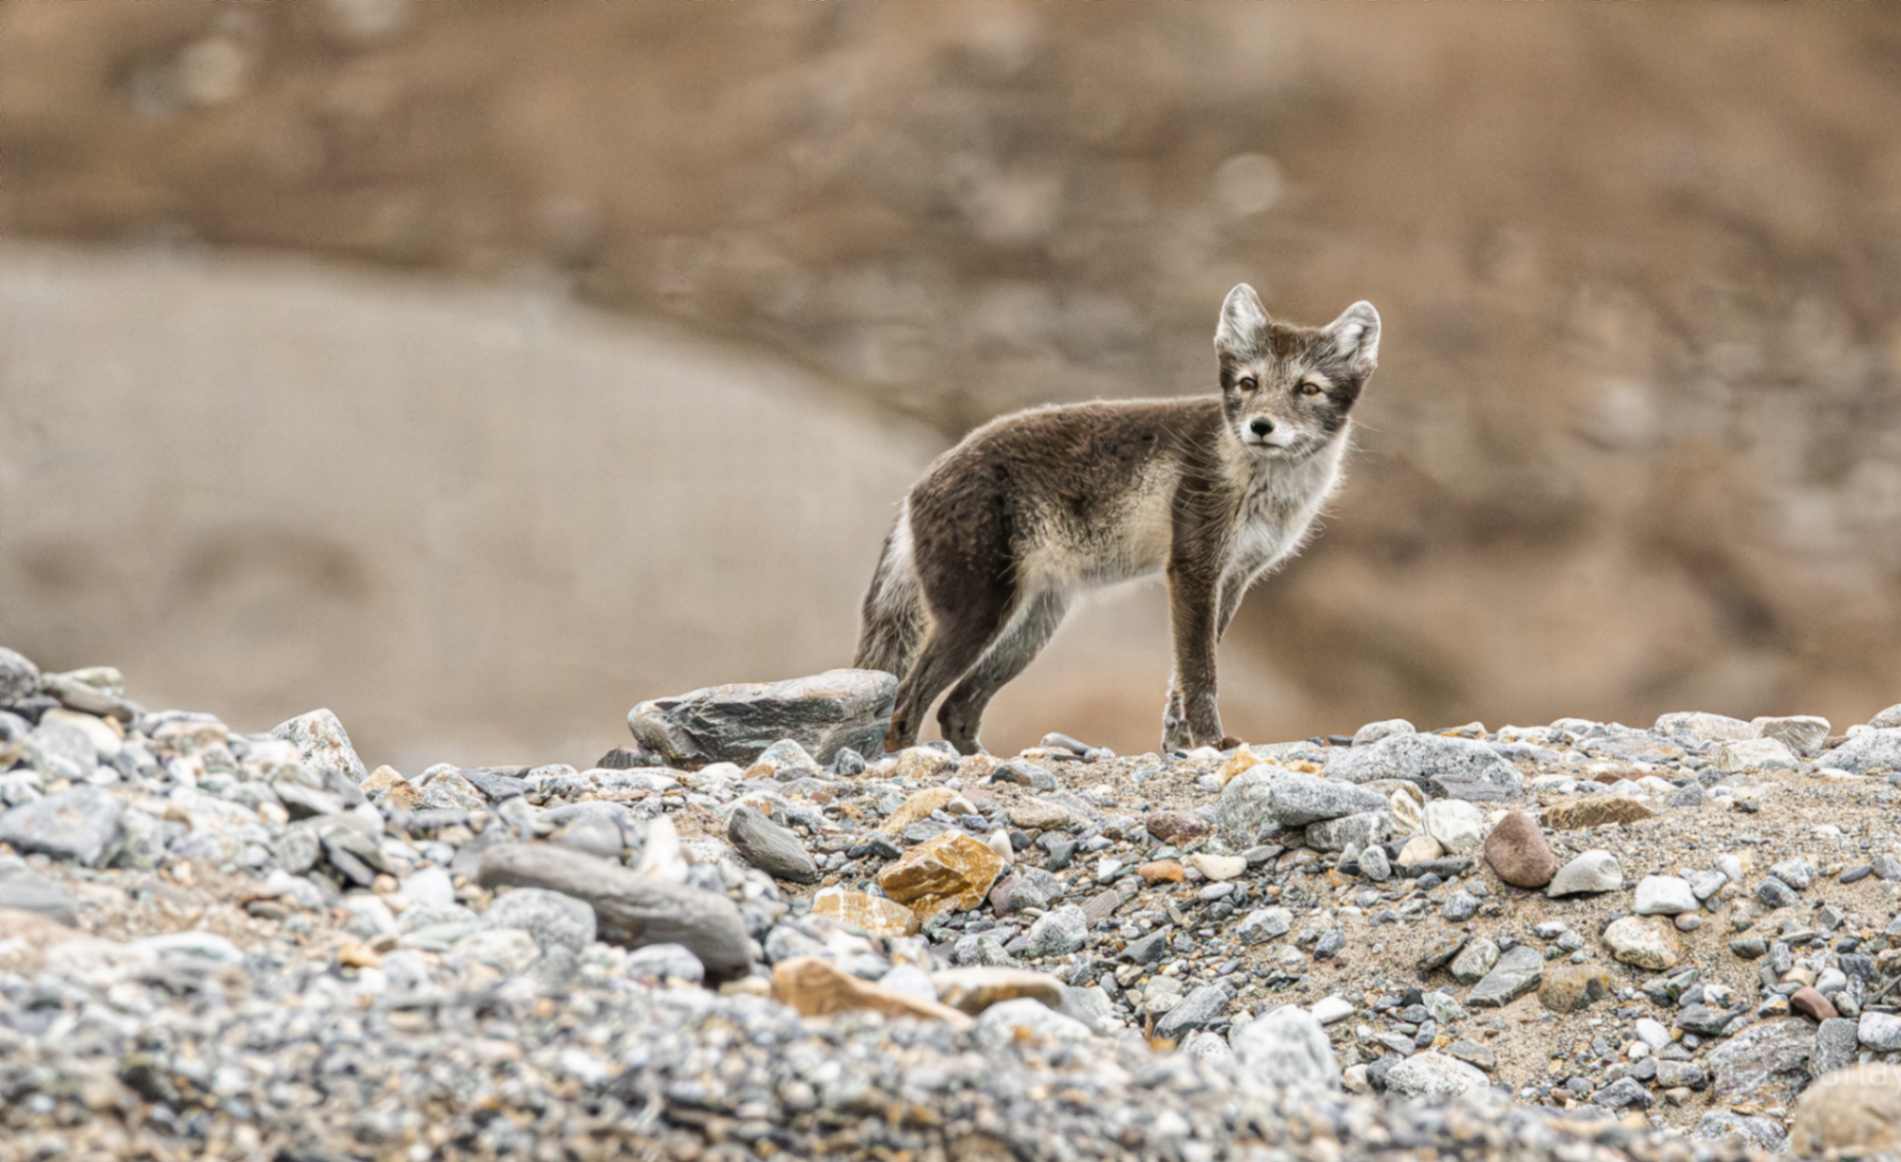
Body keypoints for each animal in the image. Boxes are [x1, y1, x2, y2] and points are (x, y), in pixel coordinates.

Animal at [853, 283, 1380, 756]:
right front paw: (1212, 742)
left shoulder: (1234, 579)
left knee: (956, 708)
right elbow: (1200, 671)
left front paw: (1179, 745)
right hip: (978, 614)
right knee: (906, 703)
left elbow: (1180, 679)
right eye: (1248, 383)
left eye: (1308, 389)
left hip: (1031, 627)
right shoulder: (1193, 568)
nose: (1261, 427)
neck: (1261, 481)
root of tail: (917, 486)